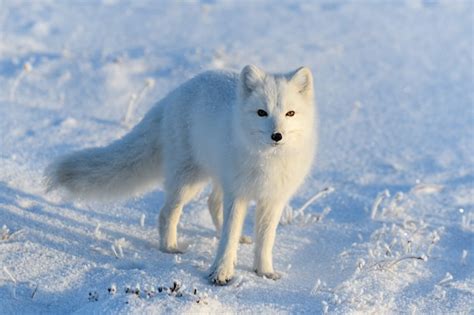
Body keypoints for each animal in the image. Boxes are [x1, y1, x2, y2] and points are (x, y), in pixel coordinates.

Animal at [45, 65, 318, 286]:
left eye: (290, 114)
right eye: (262, 112)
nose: (277, 136)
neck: (267, 161)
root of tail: (173, 94)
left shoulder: (273, 199)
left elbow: (265, 240)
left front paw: (264, 272)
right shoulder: (237, 193)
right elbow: (227, 238)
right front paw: (221, 273)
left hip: (214, 177)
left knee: (212, 203)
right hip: (188, 181)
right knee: (167, 212)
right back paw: (170, 247)